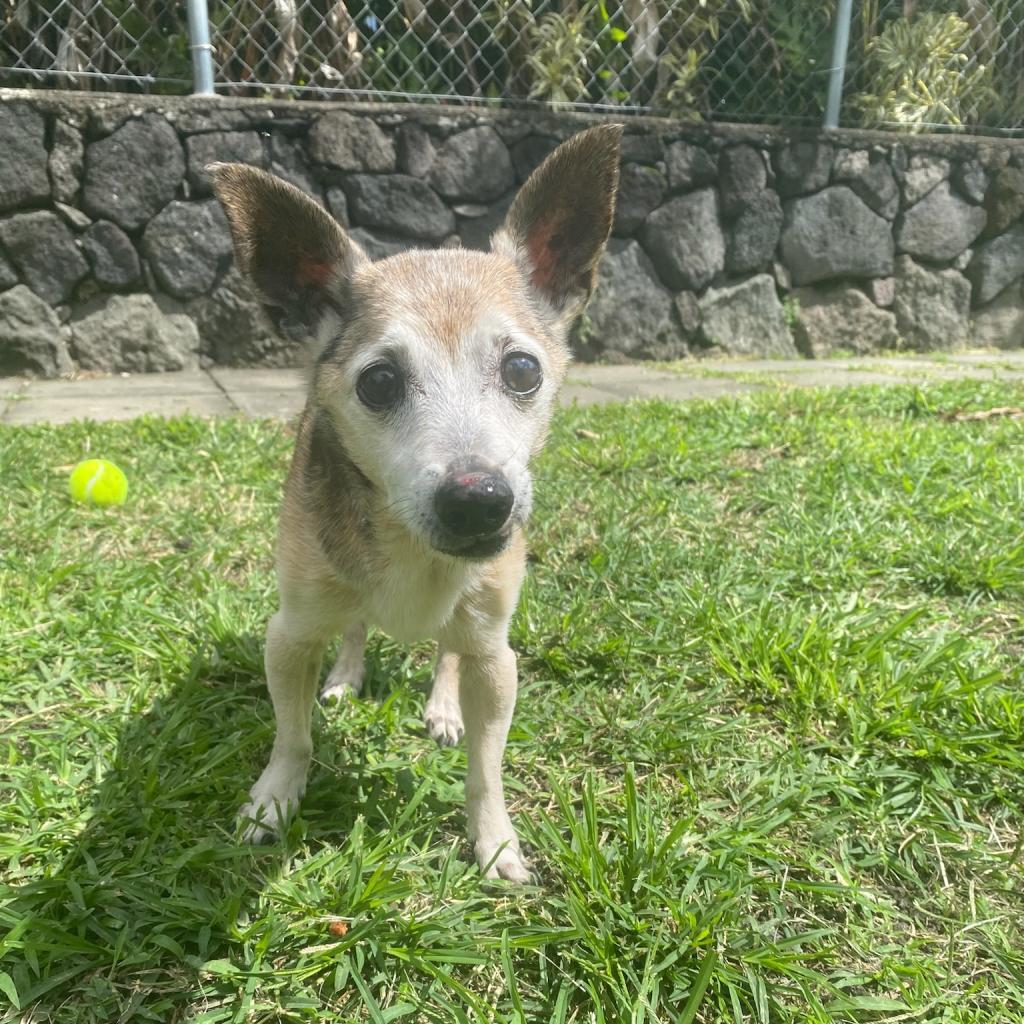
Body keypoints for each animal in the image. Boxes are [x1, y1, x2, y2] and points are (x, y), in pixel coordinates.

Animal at [210, 123, 618, 884]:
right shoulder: (289, 634)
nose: (479, 500)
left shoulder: (496, 657)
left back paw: (442, 705)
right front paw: (275, 798)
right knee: (353, 628)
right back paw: (345, 676)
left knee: (446, 650)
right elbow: (292, 734)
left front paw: (494, 841)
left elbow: (487, 765)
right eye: (378, 383)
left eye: (523, 370)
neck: (410, 546)